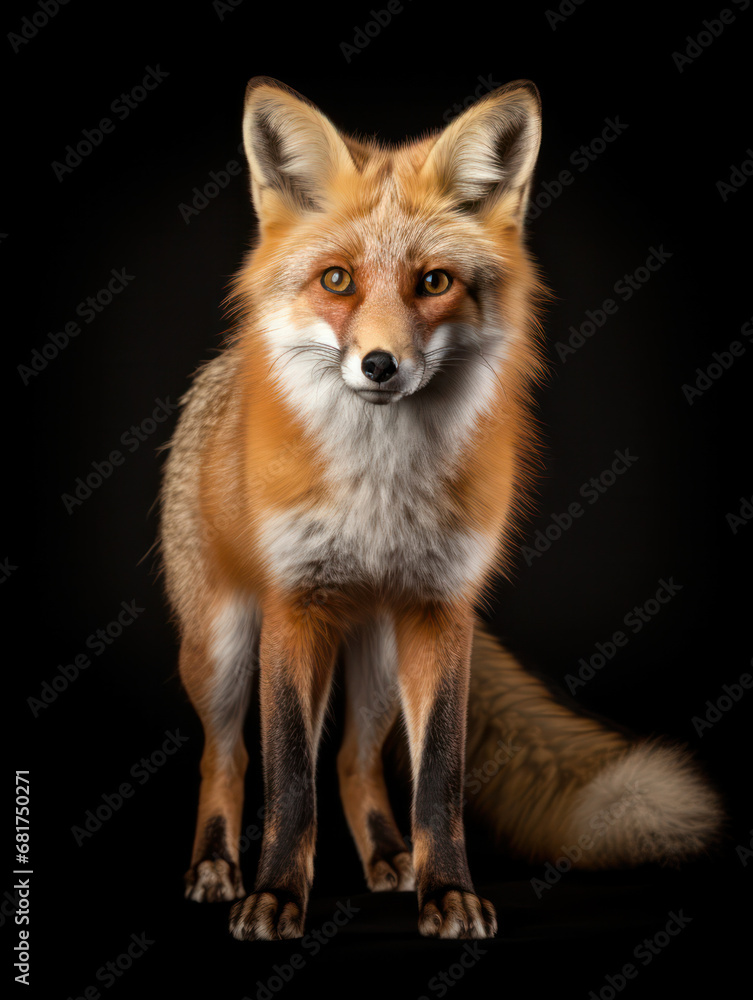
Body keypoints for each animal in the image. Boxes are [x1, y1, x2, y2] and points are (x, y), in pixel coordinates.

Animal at [158, 76, 722, 941]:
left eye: (433, 283)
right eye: (336, 281)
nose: (379, 365)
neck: (381, 486)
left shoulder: (439, 609)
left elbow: (440, 782)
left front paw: (447, 892)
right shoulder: (294, 607)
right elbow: (288, 780)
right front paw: (277, 896)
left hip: (379, 656)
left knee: (354, 760)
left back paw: (389, 857)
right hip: (220, 647)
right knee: (226, 757)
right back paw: (218, 867)